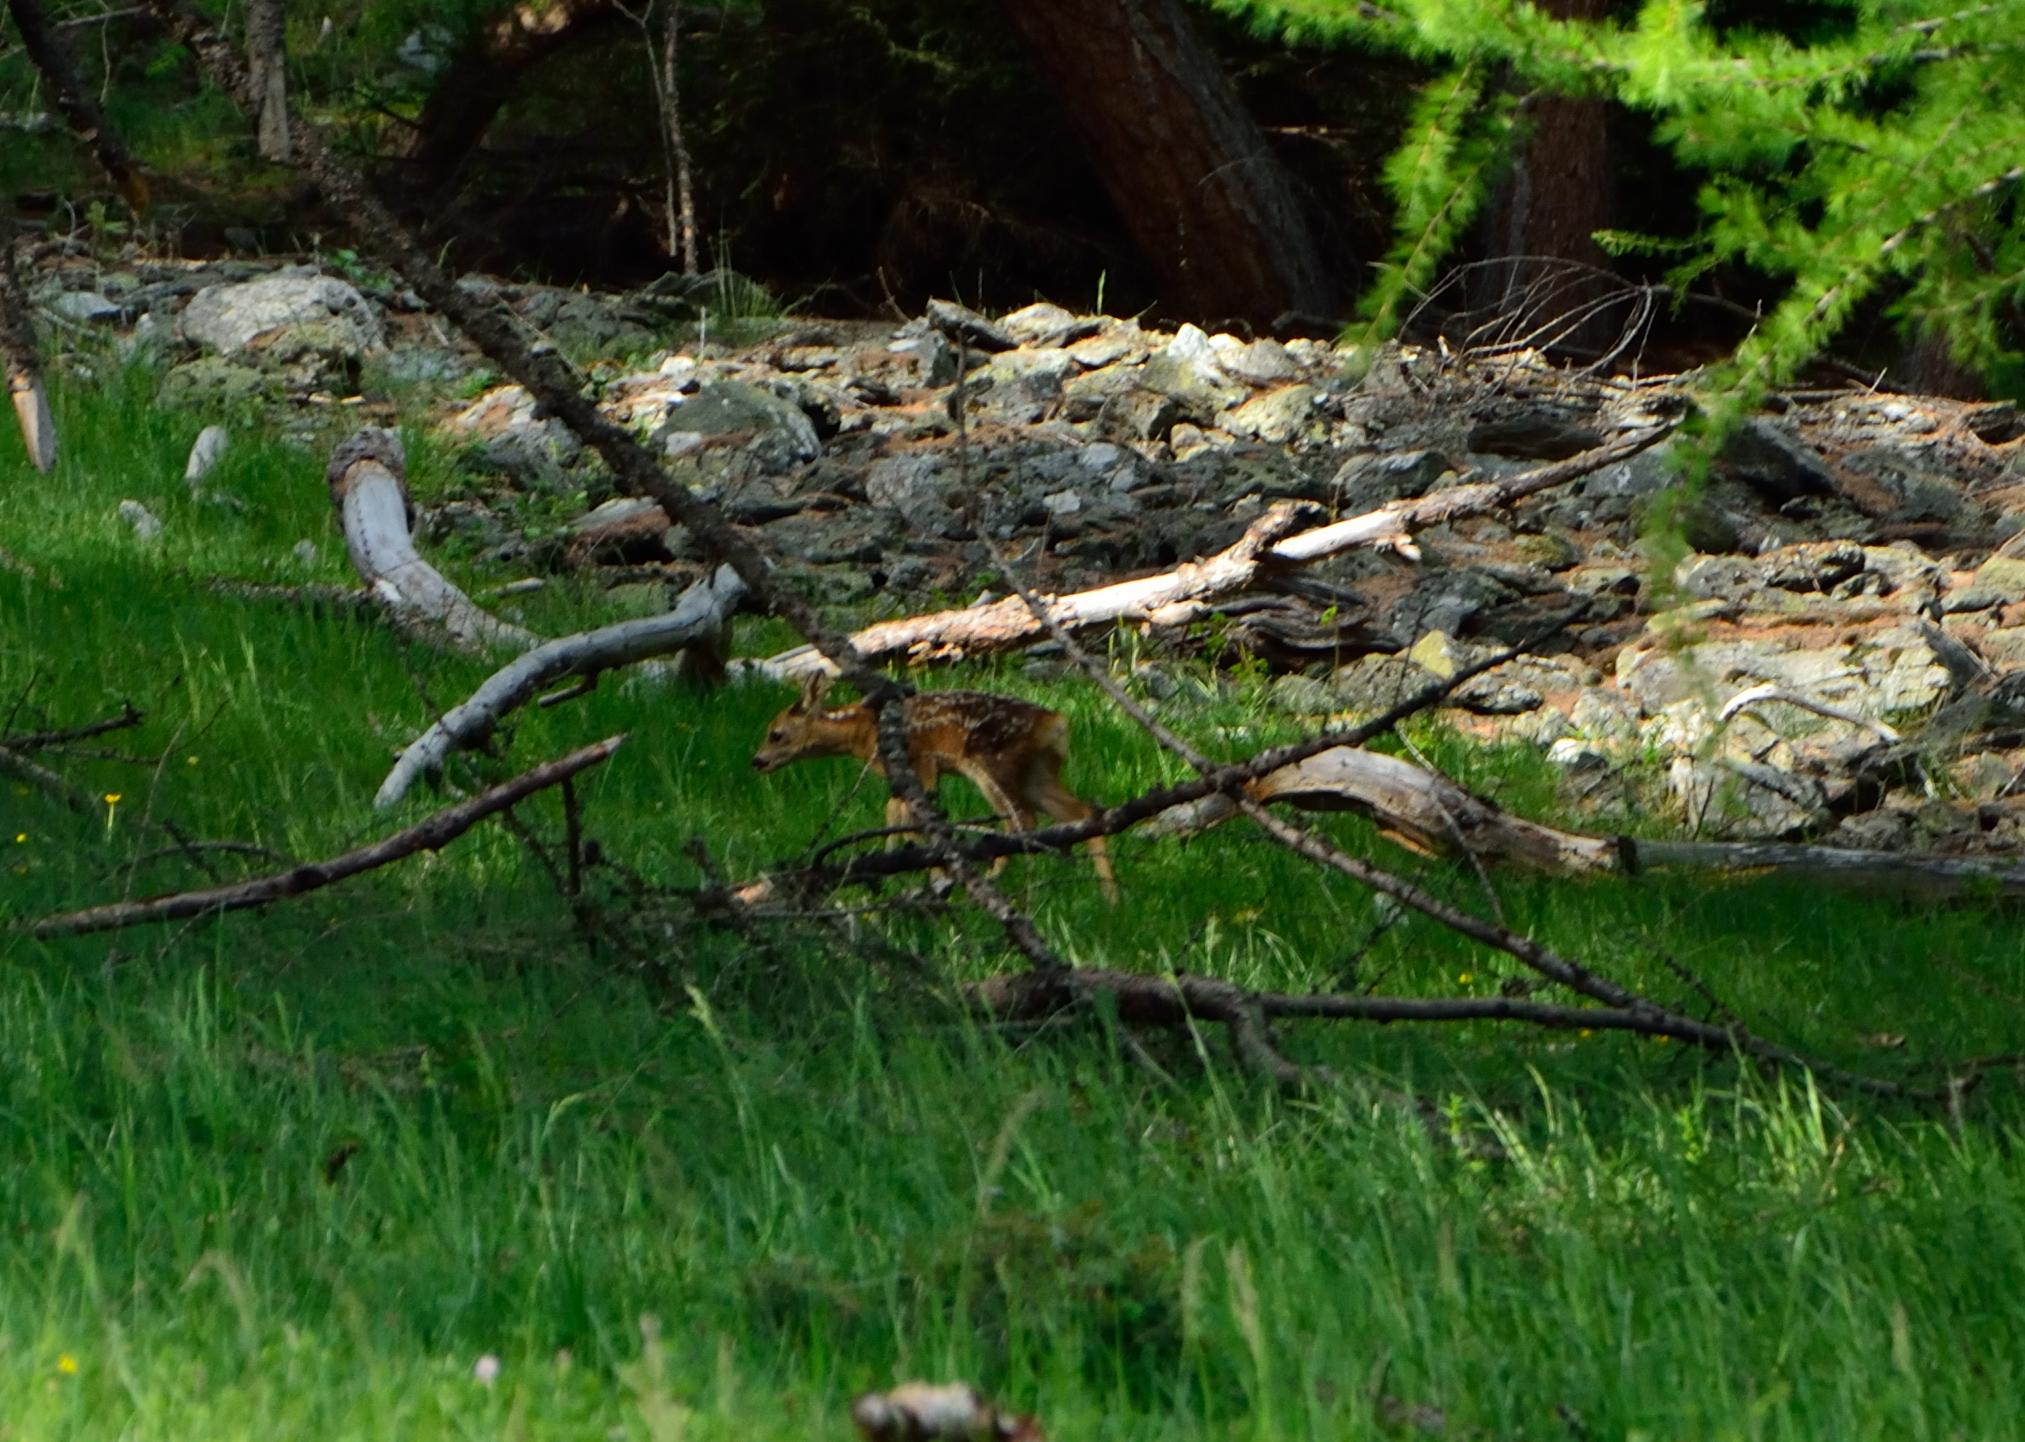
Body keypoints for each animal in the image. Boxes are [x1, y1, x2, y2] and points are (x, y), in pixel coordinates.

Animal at [751, 675, 1118, 903]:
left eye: (776, 734)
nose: (757, 761)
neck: (860, 732)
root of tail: (1055, 722)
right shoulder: (904, 774)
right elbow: (894, 811)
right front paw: (895, 865)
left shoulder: (921, 759)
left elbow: (914, 815)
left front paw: (931, 871)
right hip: (1036, 773)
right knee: (1082, 812)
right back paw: (1109, 895)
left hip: (991, 764)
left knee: (1022, 819)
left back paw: (998, 880)